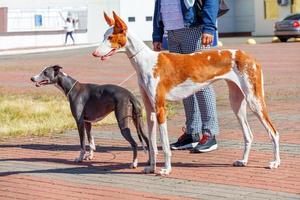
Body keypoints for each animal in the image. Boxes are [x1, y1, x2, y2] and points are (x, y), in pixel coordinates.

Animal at [92, 12, 280, 175]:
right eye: (103, 36)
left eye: (110, 37)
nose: (93, 53)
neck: (145, 61)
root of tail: (248, 56)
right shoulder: (150, 111)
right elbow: (151, 143)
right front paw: (151, 167)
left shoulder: (160, 109)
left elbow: (164, 145)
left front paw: (166, 169)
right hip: (237, 103)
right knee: (249, 134)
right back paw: (243, 161)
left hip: (254, 101)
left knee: (274, 132)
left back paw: (275, 162)